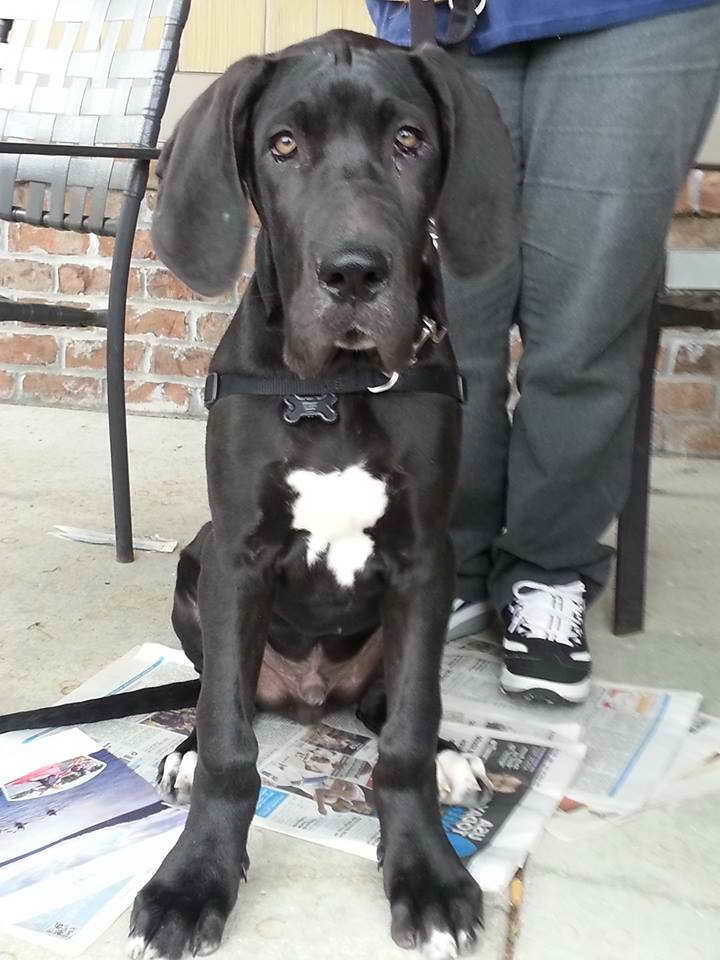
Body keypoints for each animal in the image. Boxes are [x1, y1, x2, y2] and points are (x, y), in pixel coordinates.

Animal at [0, 30, 516, 960]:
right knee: (216, 694)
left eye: (409, 140)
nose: (354, 273)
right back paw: (180, 751)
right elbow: (230, 745)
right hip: (195, 569)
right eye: (282, 146)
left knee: (384, 702)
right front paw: (193, 879)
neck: (338, 387)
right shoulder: (237, 559)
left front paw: (425, 868)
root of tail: (308, 694)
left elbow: (406, 735)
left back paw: (448, 749)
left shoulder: (425, 558)